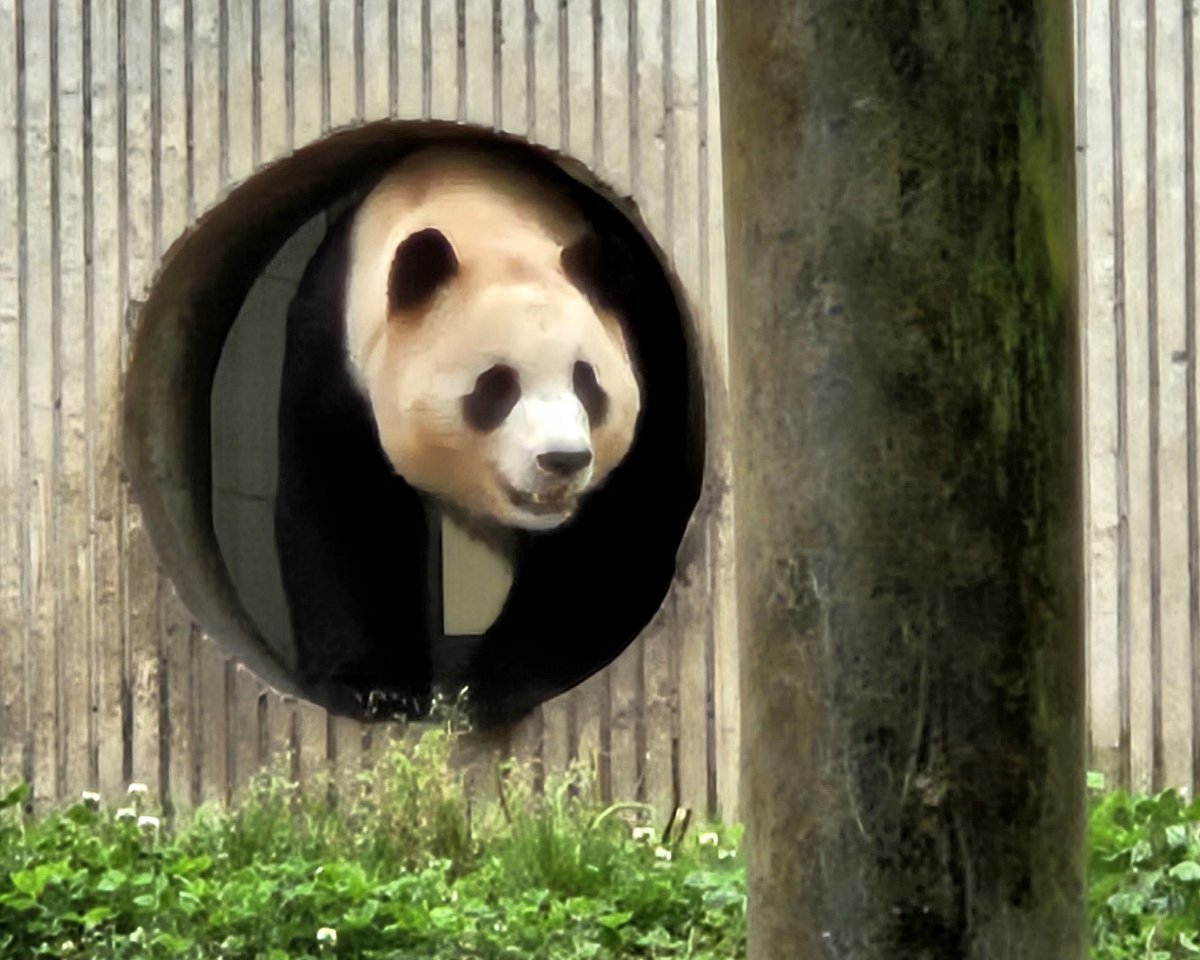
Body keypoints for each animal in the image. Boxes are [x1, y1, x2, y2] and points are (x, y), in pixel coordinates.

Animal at [274, 140, 700, 729]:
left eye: (587, 382)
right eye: (497, 386)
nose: (563, 459)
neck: (476, 210)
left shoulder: (645, 337)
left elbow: (614, 535)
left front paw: (493, 689)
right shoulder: (334, 346)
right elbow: (344, 504)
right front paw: (377, 691)